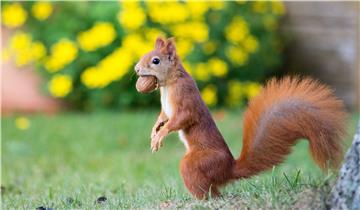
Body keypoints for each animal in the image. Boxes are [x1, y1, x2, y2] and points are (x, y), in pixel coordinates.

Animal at [134, 37, 348, 199]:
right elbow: (163, 116)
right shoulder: (166, 109)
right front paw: (154, 130)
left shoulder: (185, 100)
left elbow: (180, 119)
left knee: (207, 189)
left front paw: (160, 135)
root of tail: (229, 169)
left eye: (155, 61)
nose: (136, 69)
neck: (168, 84)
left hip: (200, 162)